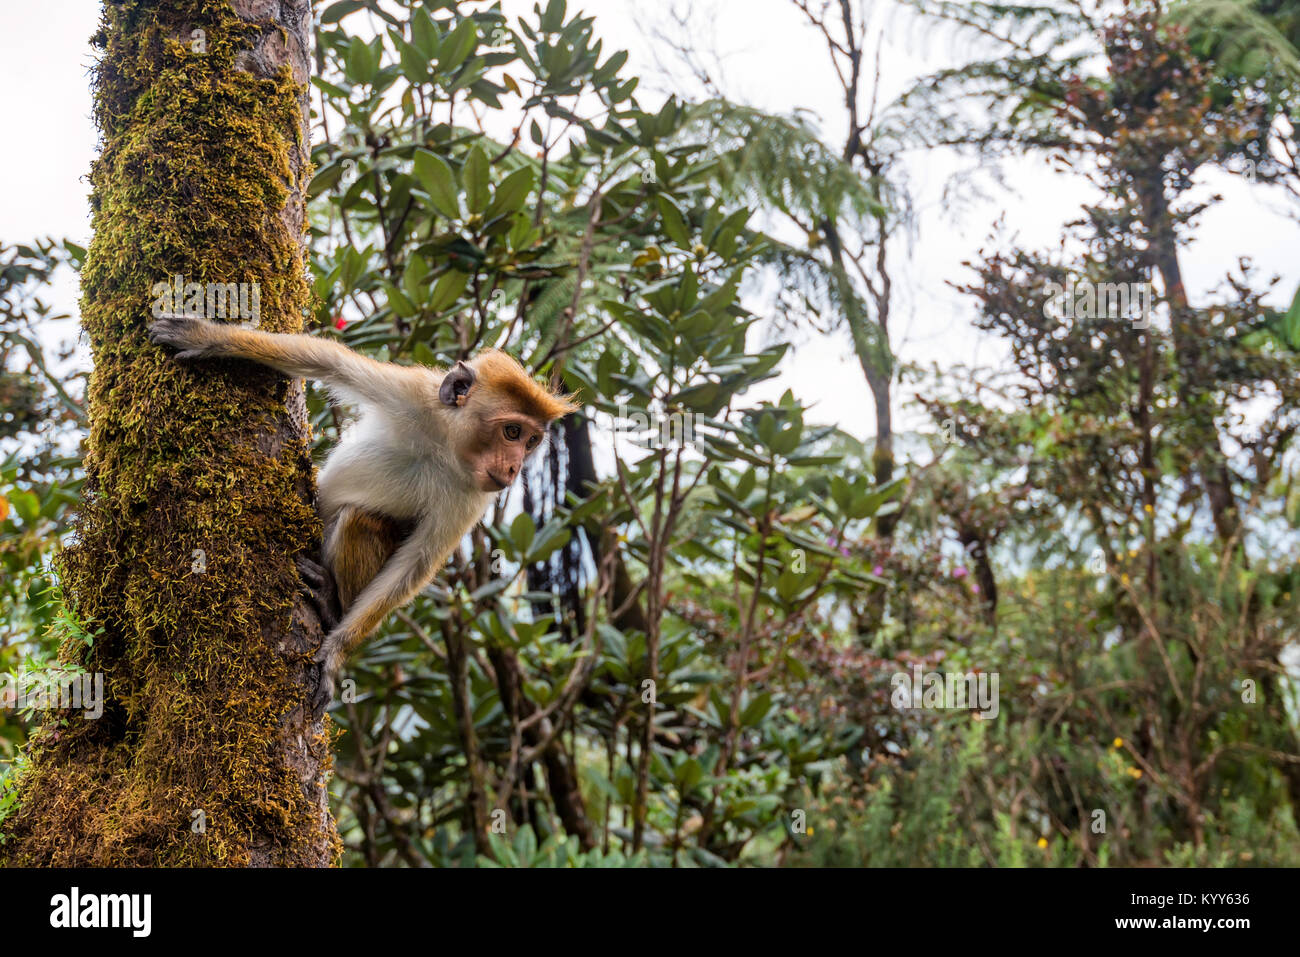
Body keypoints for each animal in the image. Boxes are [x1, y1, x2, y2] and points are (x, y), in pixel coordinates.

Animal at [147, 314, 578, 716]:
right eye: (512, 433)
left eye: (532, 441)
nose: (514, 468)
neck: (446, 448)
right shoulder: (412, 395)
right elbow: (326, 361)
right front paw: (210, 338)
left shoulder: (471, 496)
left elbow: (415, 564)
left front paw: (336, 653)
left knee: (362, 519)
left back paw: (331, 603)